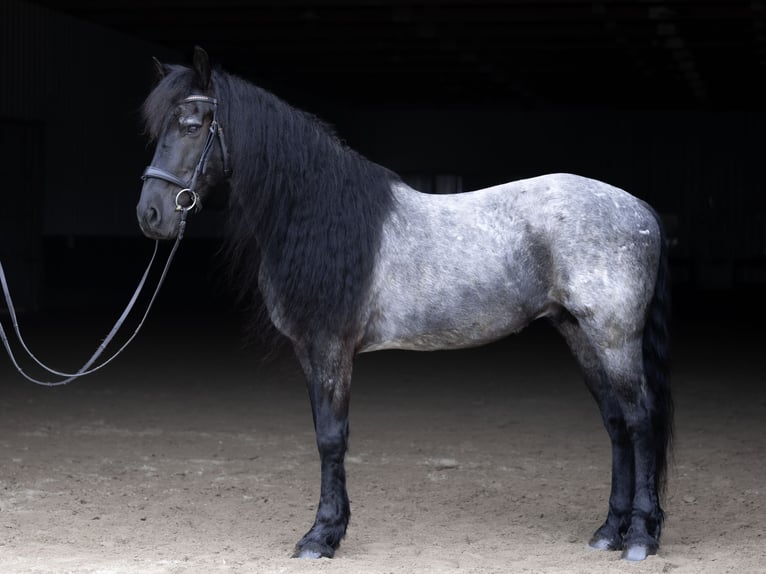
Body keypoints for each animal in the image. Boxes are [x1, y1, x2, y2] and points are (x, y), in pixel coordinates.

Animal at [136, 47, 672, 562]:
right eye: (158, 129)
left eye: (191, 125)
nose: (151, 215)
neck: (319, 214)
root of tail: (641, 209)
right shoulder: (309, 352)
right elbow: (323, 432)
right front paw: (331, 529)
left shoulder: (331, 348)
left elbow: (332, 437)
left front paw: (320, 537)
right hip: (579, 333)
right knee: (616, 423)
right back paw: (608, 532)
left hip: (614, 338)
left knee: (641, 420)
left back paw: (639, 539)